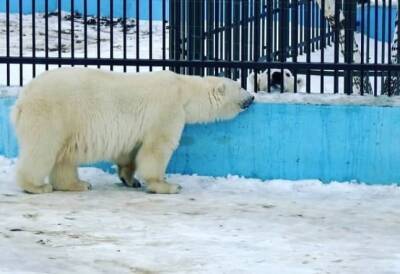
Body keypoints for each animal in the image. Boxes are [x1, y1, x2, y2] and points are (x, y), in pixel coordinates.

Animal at [10, 67, 255, 194]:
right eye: (240, 86)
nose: (252, 97)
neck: (184, 90)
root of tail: (22, 98)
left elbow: (130, 151)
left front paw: (130, 179)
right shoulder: (167, 109)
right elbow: (157, 147)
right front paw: (167, 185)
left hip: (69, 123)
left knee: (65, 155)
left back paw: (79, 184)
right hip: (52, 113)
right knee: (42, 149)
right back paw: (37, 186)